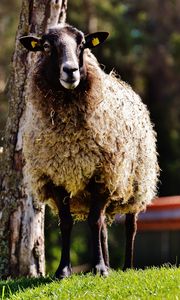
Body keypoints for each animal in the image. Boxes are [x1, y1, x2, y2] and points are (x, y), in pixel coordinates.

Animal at [19, 23, 158, 278]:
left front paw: (99, 268)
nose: (71, 71)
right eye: (46, 46)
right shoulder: (56, 178)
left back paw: (126, 266)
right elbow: (68, 222)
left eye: (82, 44)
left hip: (137, 182)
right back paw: (108, 264)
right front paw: (64, 270)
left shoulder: (104, 176)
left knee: (130, 225)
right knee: (103, 224)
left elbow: (94, 221)